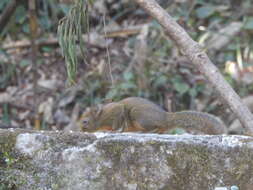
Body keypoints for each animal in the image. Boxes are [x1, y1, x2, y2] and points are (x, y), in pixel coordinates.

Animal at [78, 97, 226, 134]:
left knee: (153, 127)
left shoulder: (115, 112)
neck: (101, 119)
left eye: (85, 121)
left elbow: (118, 124)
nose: (81, 129)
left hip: (138, 116)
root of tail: (166, 118)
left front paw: (114, 131)